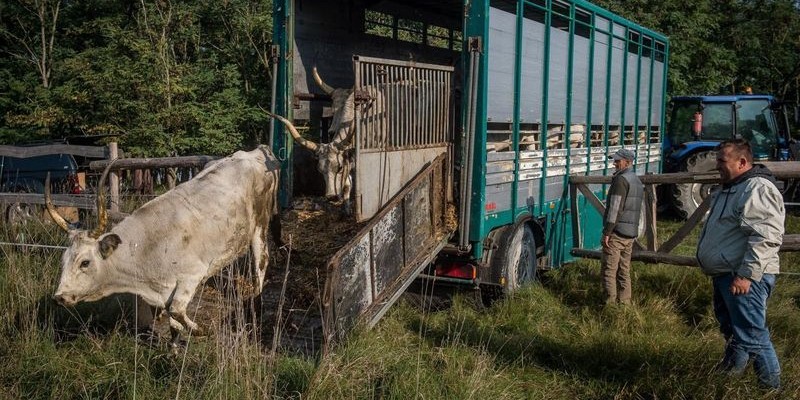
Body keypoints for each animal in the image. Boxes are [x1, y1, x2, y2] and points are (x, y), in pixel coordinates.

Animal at [48, 147, 282, 344]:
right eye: (63, 261)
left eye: (85, 262)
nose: (59, 297)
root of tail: (256, 151)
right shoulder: (166, 290)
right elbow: (173, 321)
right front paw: (174, 350)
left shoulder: (192, 275)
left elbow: (176, 310)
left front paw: (201, 330)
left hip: (259, 227)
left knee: (261, 262)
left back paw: (256, 305)